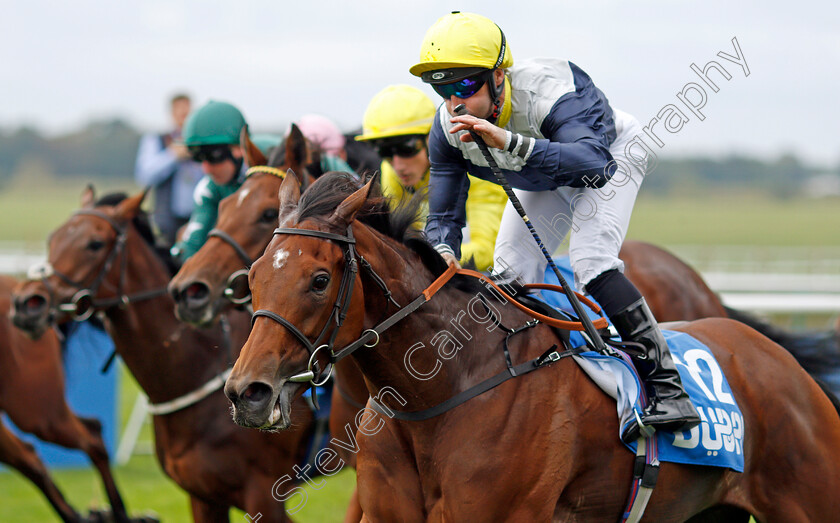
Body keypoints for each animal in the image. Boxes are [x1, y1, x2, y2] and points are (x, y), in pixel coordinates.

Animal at [225, 173, 840, 523]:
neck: (441, 393)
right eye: (253, 276)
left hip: (809, 500)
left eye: (319, 280)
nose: (246, 392)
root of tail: (779, 359)